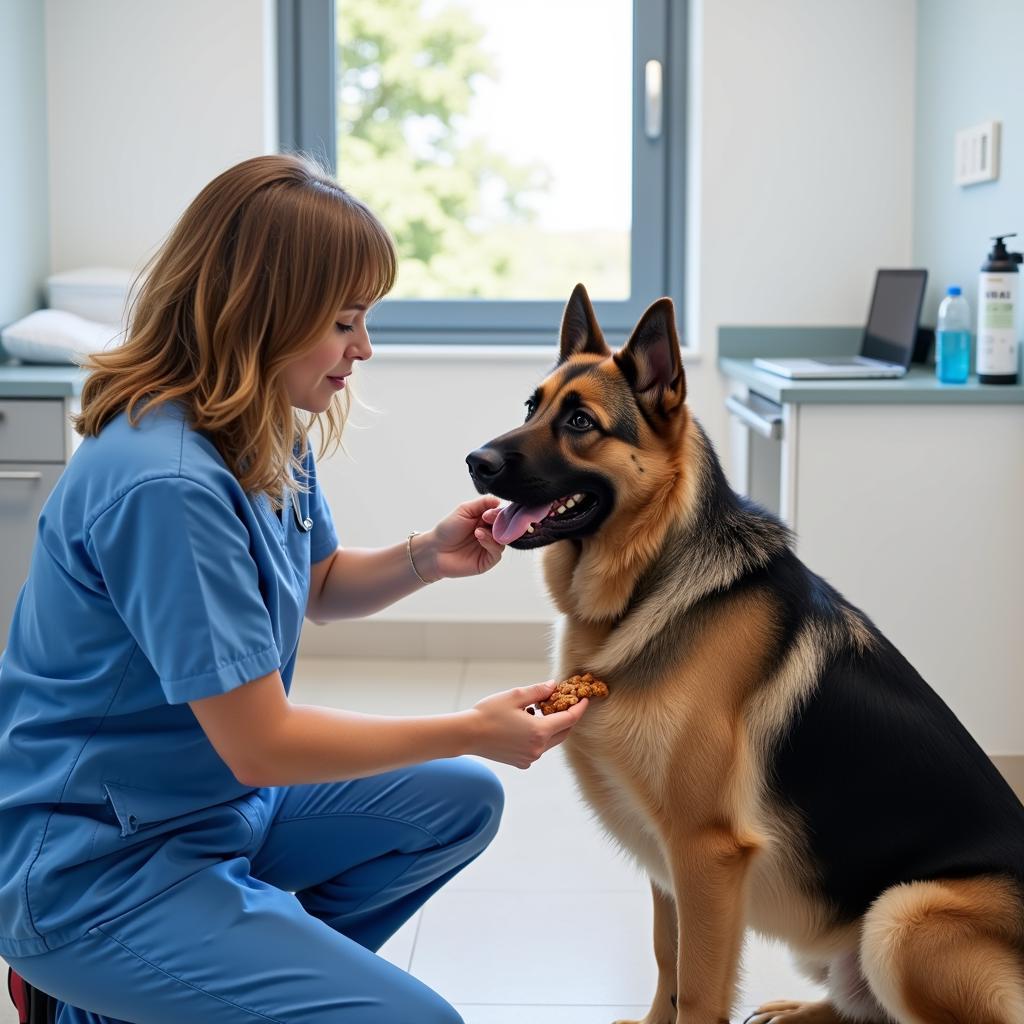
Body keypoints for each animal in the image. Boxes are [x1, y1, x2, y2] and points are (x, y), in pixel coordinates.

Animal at [468, 286, 1024, 1024]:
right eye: (532, 408)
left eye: (581, 422)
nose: (475, 461)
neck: (651, 581)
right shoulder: (666, 859)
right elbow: (666, 959)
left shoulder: (707, 856)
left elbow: (699, 989)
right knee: (862, 1007)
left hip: (902, 916)